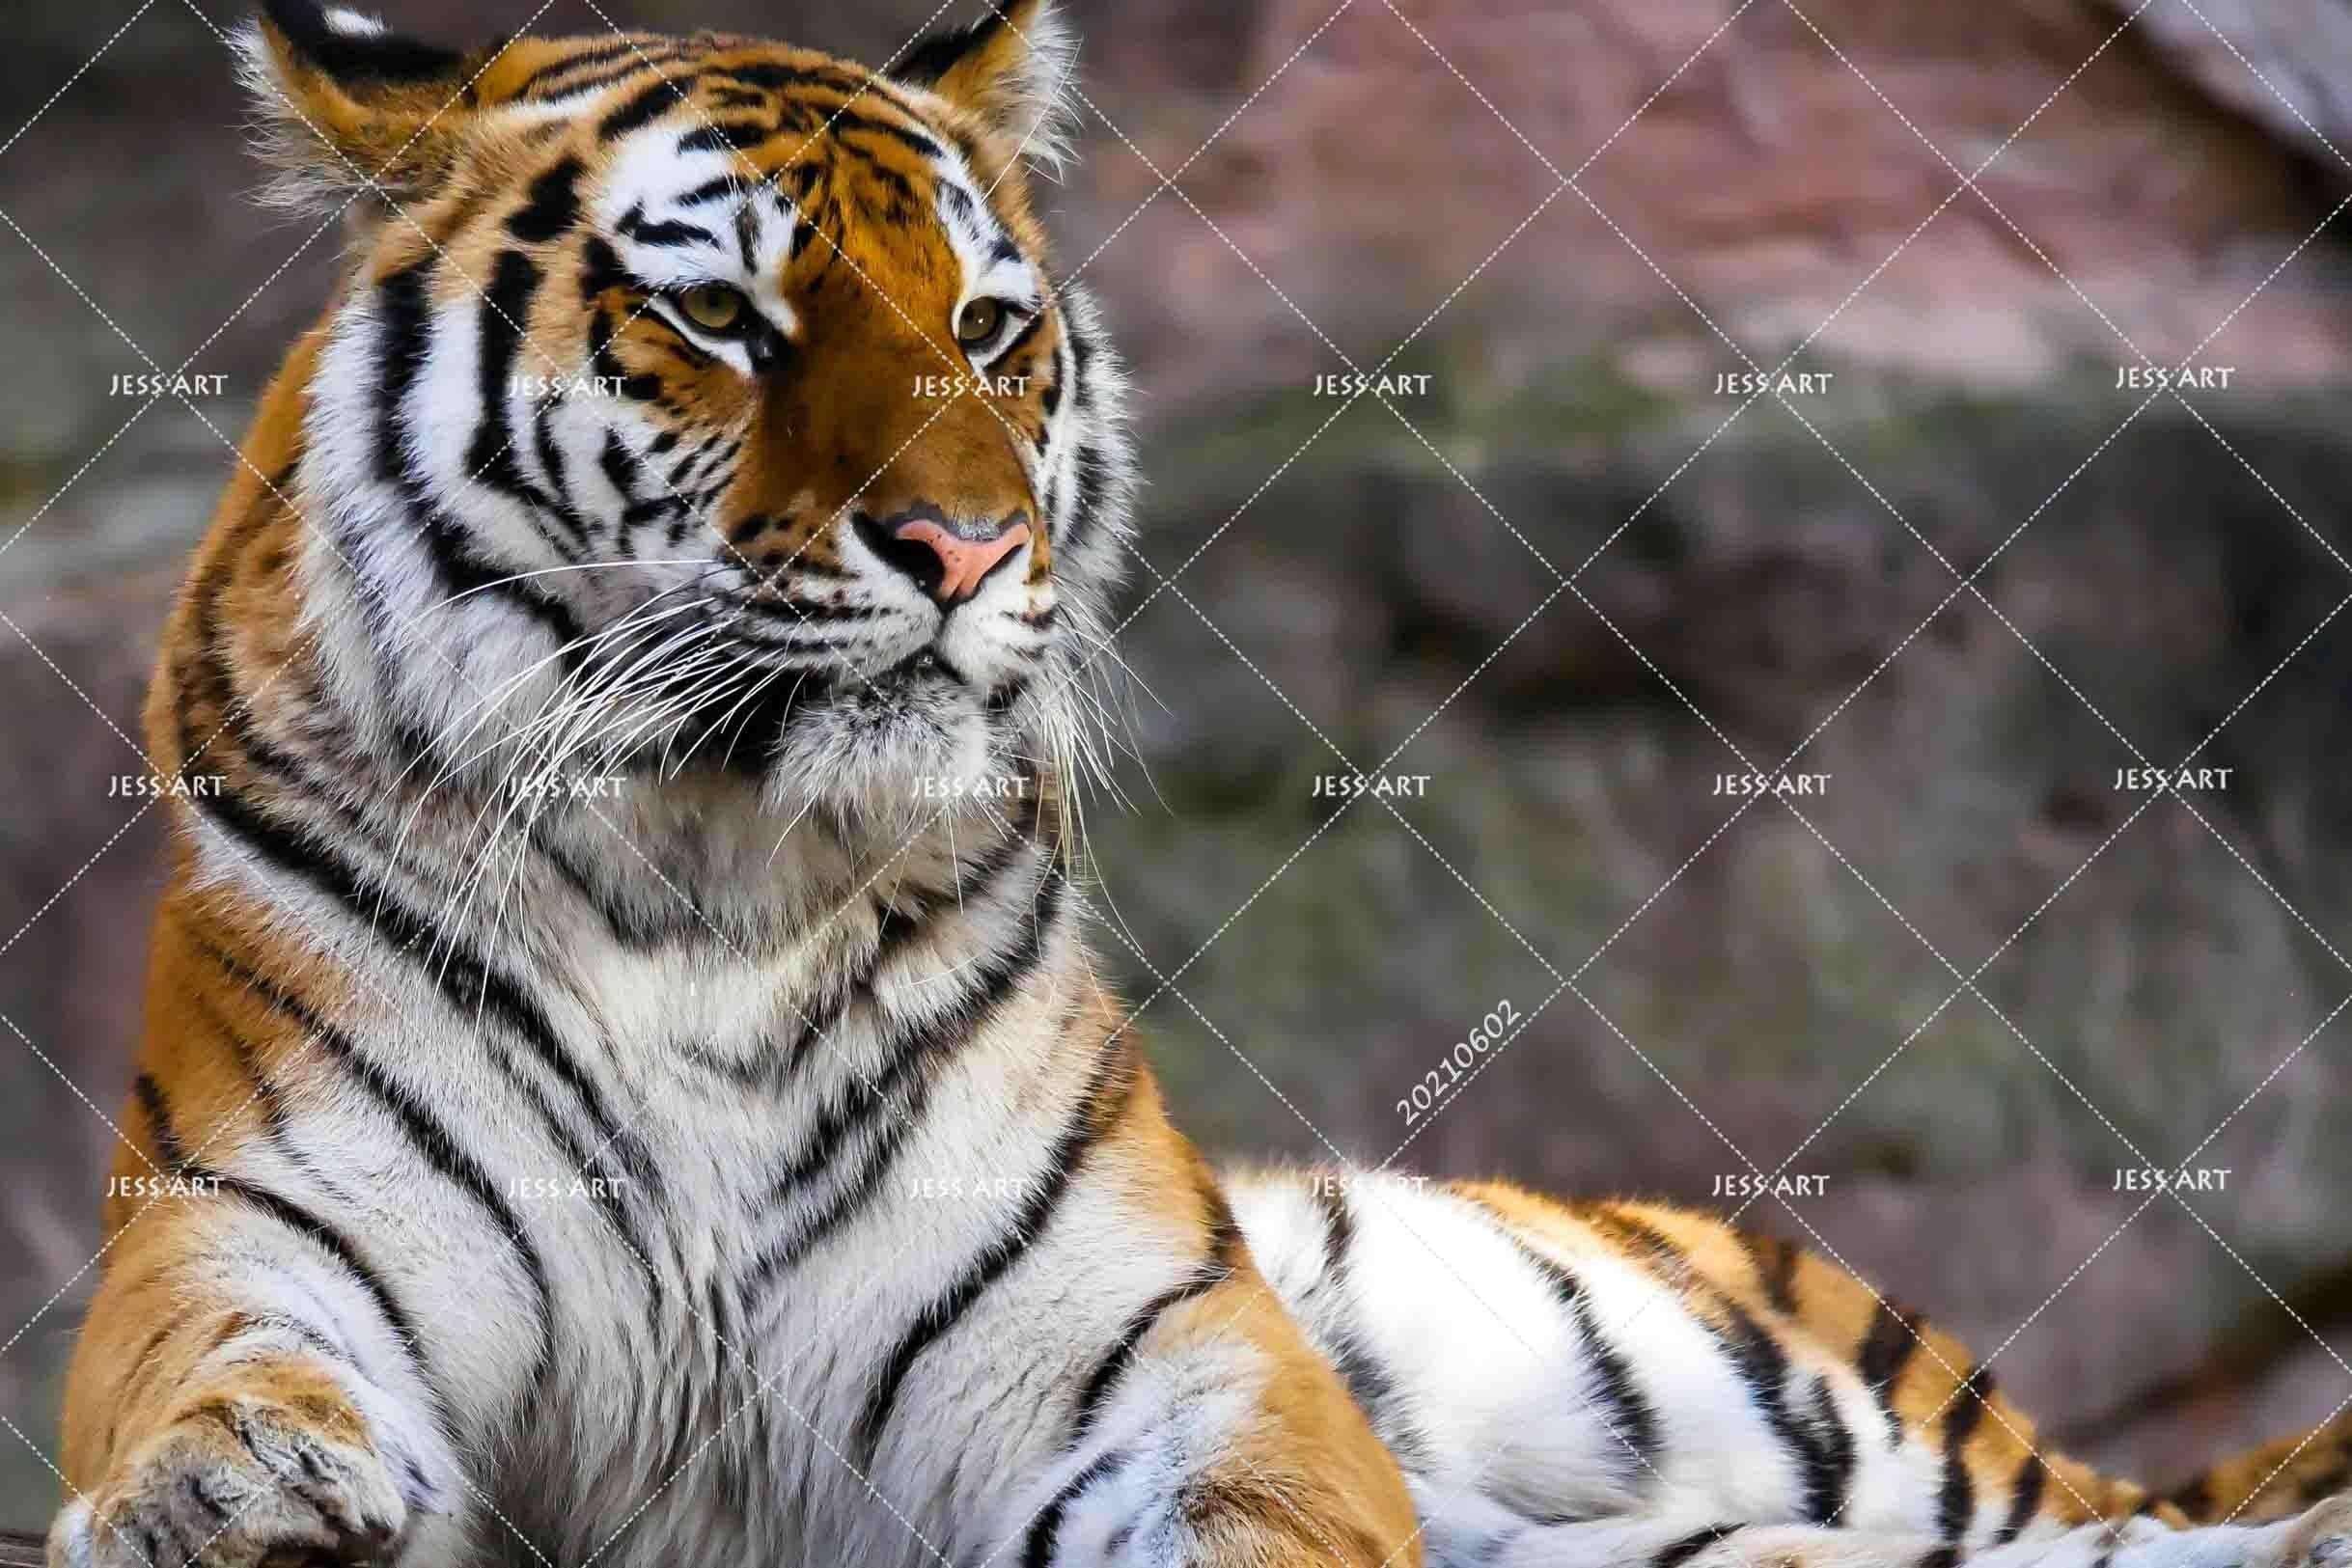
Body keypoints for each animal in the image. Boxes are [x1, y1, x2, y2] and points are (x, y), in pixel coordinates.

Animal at [29, 2, 2352, 1566]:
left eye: (987, 326)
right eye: (725, 319)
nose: (965, 548)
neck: (711, 872)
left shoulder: (1167, 1347)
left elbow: (1253, 1499)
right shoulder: (250, 1215)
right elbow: (214, 1364)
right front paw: (240, 1486)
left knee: (2132, 1517)